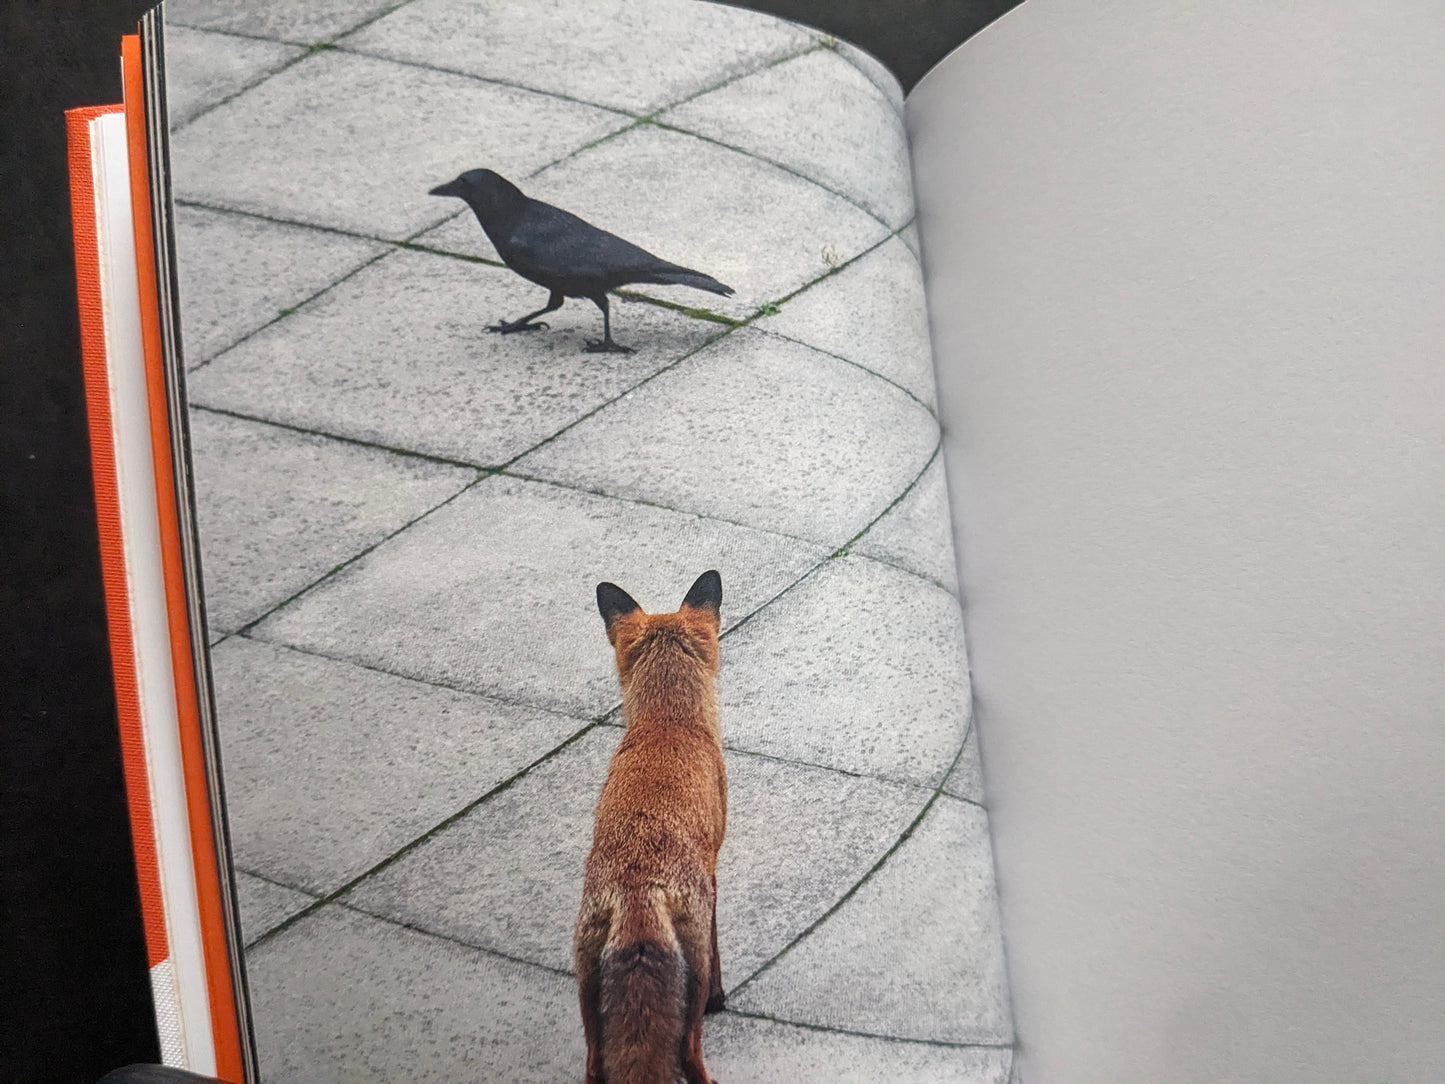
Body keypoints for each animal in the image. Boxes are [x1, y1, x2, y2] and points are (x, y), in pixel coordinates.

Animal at [575, 570, 728, 1084]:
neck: (667, 723)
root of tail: (638, 890)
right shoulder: (714, 871)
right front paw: (723, 999)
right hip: (690, 970)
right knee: (689, 1052)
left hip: (587, 993)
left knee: (594, 1064)